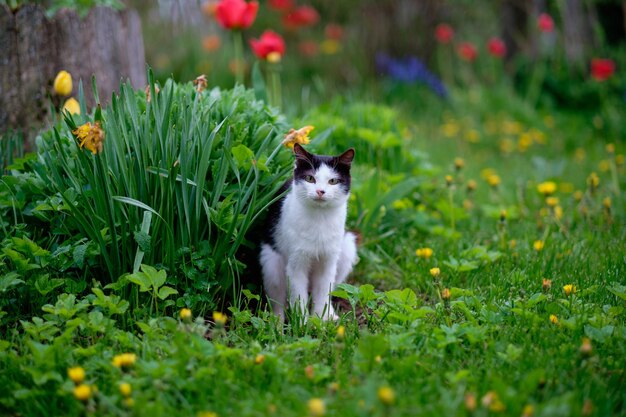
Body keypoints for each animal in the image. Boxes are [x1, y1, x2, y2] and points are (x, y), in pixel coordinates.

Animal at [258, 141, 356, 320]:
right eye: (310, 178)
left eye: (333, 181)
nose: (320, 191)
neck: (320, 217)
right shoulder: (296, 263)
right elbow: (298, 295)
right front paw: (302, 322)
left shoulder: (329, 261)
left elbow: (323, 291)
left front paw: (321, 320)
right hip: (271, 263)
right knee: (278, 299)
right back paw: (277, 321)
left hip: (347, 247)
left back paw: (332, 315)